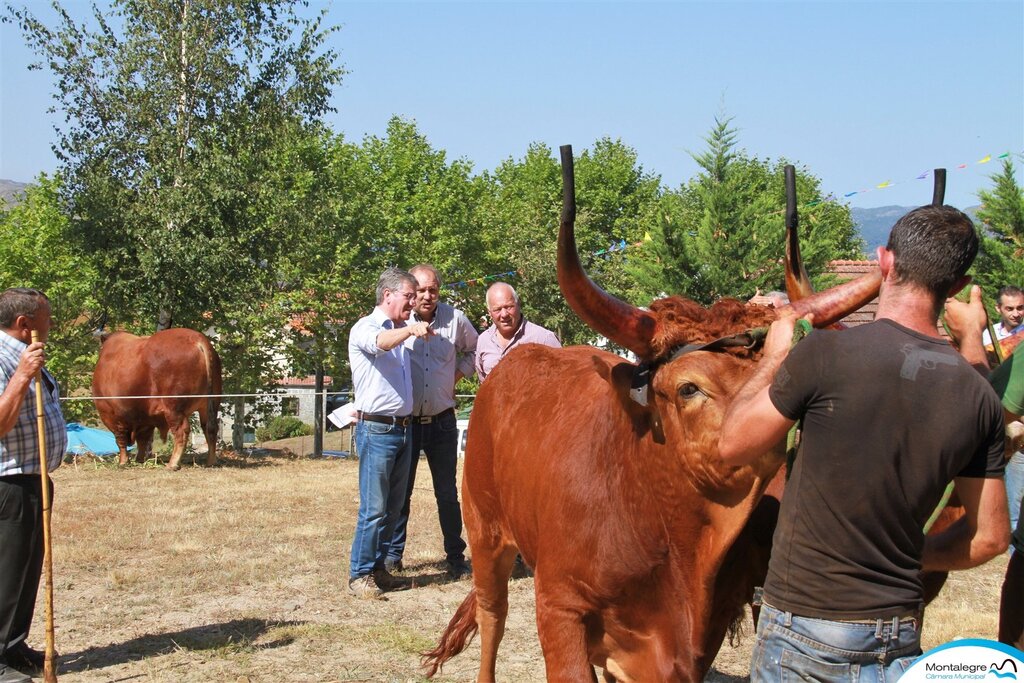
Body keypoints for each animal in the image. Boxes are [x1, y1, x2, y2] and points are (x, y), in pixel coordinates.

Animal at [93, 329, 221, 471]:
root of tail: (197, 339)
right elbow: (143, 439)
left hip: (173, 407)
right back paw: (211, 461)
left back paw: (172, 464)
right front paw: (139, 459)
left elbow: (120, 439)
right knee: (210, 428)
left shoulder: (110, 414)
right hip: (210, 403)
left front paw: (123, 462)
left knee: (182, 431)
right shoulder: (145, 417)